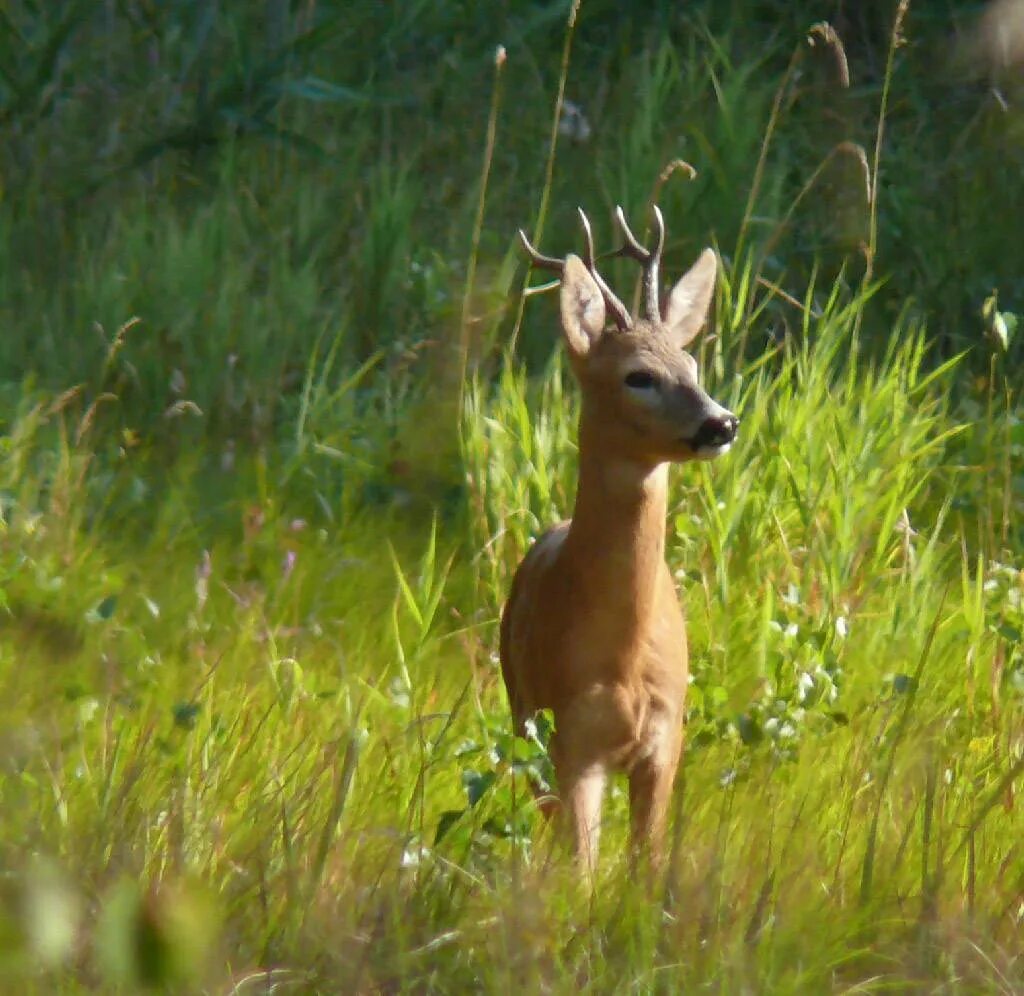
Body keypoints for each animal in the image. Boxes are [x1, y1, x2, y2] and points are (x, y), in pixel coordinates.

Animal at [497, 205, 733, 876]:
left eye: (693, 367)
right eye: (639, 377)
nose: (721, 422)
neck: (624, 656)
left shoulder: (666, 738)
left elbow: (646, 865)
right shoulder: (573, 739)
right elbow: (581, 872)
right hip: (522, 716)